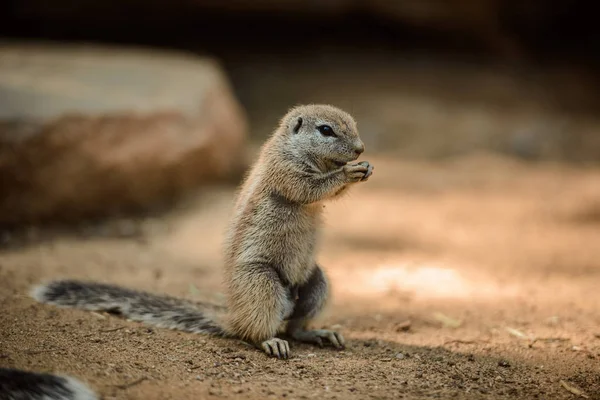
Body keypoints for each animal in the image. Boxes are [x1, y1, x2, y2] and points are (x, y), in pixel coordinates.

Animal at [31, 102, 376, 360]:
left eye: (352, 125)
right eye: (325, 130)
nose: (360, 150)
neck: (292, 148)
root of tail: (234, 315)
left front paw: (365, 169)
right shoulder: (285, 171)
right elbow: (310, 188)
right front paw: (348, 172)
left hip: (316, 281)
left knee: (295, 326)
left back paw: (318, 332)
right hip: (261, 282)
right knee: (257, 332)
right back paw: (269, 341)